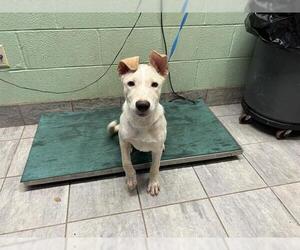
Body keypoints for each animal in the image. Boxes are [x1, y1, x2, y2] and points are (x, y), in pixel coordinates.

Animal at [108, 50, 169, 195]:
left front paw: (153, 183)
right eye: (130, 83)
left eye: (155, 84)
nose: (142, 105)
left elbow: (155, 167)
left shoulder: (156, 151)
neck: (142, 123)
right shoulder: (123, 142)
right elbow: (126, 163)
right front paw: (131, 179)